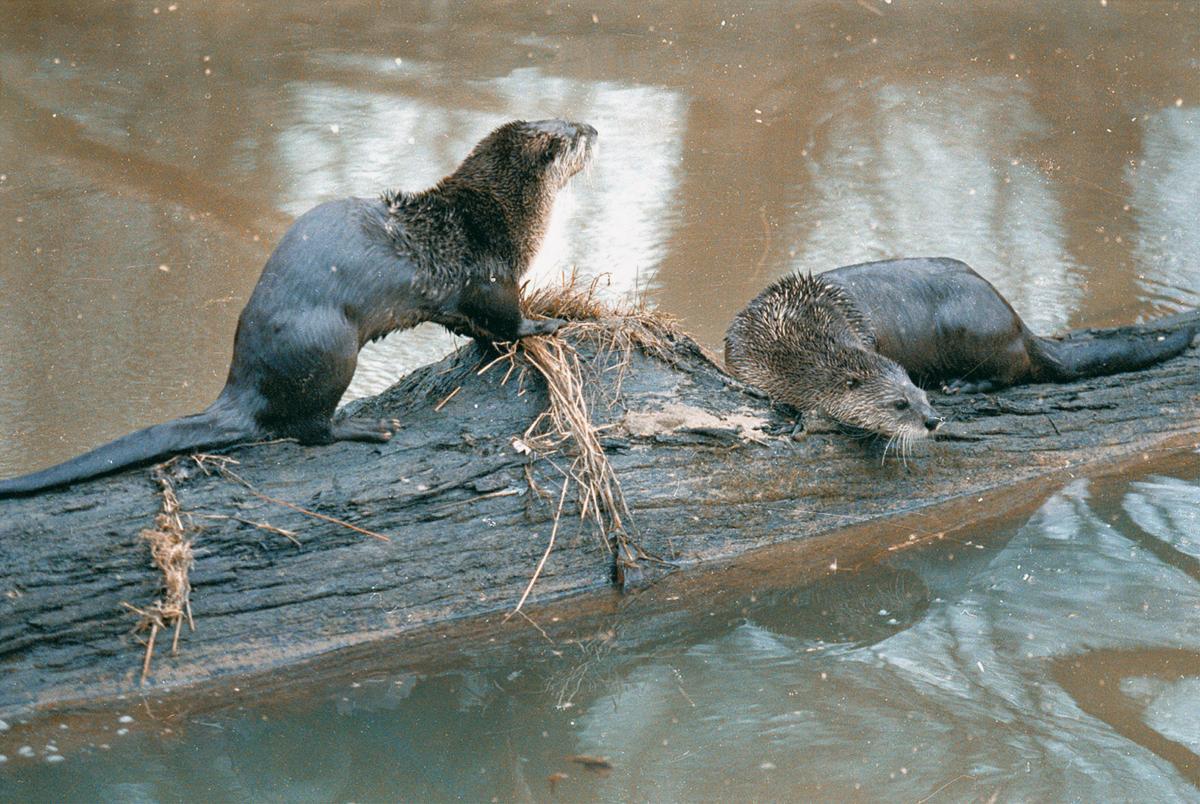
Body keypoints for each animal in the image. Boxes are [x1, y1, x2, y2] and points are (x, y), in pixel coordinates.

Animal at [0, 119, 598, 497]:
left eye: (569, 121)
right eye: (572, 136)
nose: (594, 128)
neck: (499, 212)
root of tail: (242, 385)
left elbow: (476, 329)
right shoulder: (494, 276)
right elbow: (510, 321)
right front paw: (552, 321)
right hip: (332, 348)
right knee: (311, 429)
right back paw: (369, 428)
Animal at [725, 257, 1197, 443]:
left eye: (917, 395)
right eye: (900, 402)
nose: (932, 418)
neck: (788, 329)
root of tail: (1017, 323)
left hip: (974, 326)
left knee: (1010, 372)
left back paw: (961, 385)